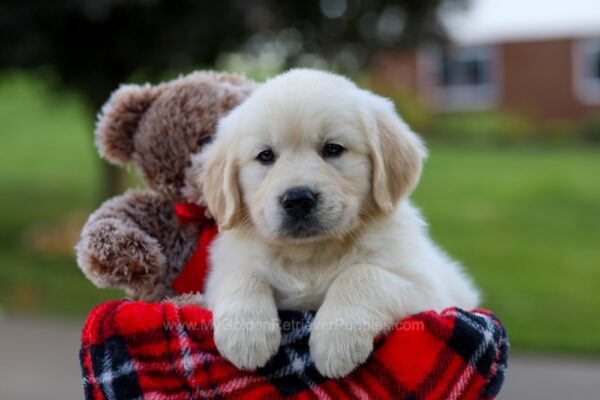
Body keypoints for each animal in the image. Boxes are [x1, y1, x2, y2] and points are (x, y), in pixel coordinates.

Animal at [195, 69, 480, 378]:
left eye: (333, 149)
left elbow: (360, 274)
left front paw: (336, 341)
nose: (298, 199)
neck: (311, 255)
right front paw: (245, 335)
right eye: (265, 156)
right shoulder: (221, 272)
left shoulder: (428, 293)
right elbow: (242, 276)